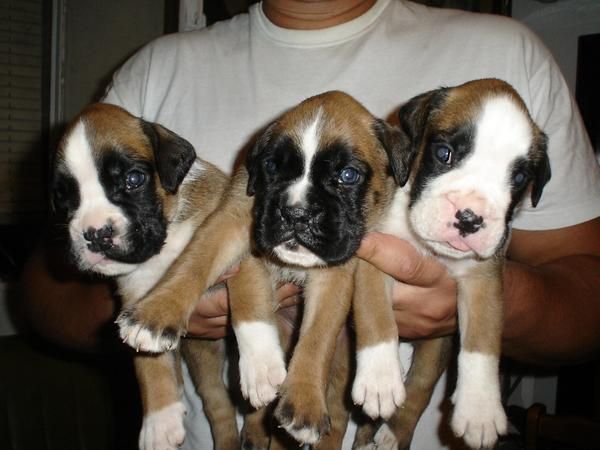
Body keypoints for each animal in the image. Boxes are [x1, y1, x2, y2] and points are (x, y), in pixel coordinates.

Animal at [50, 102, 239, 450]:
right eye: (64, 197)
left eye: (134, 179)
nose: (95, 234)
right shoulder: (135, 300)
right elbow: (147, 363)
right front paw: (159, 421)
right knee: (218, 403)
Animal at [114, 89, 406, 444]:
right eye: (271, 167)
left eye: (348, 175)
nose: (295, 213)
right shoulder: (233, 218)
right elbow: (197, 263)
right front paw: (156, 314)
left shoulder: (335, 272)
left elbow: (317, 336)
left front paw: (304, 401)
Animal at [352, 78, 552, 450]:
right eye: (444, 153)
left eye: (519, 179)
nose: (470, 219)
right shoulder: (374, 256)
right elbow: (376, 316)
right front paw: (379, 379)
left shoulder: (483, 280)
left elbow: (482, 341)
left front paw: (480, 408)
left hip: (436, 345)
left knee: (419, 386)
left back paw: (392, 434)